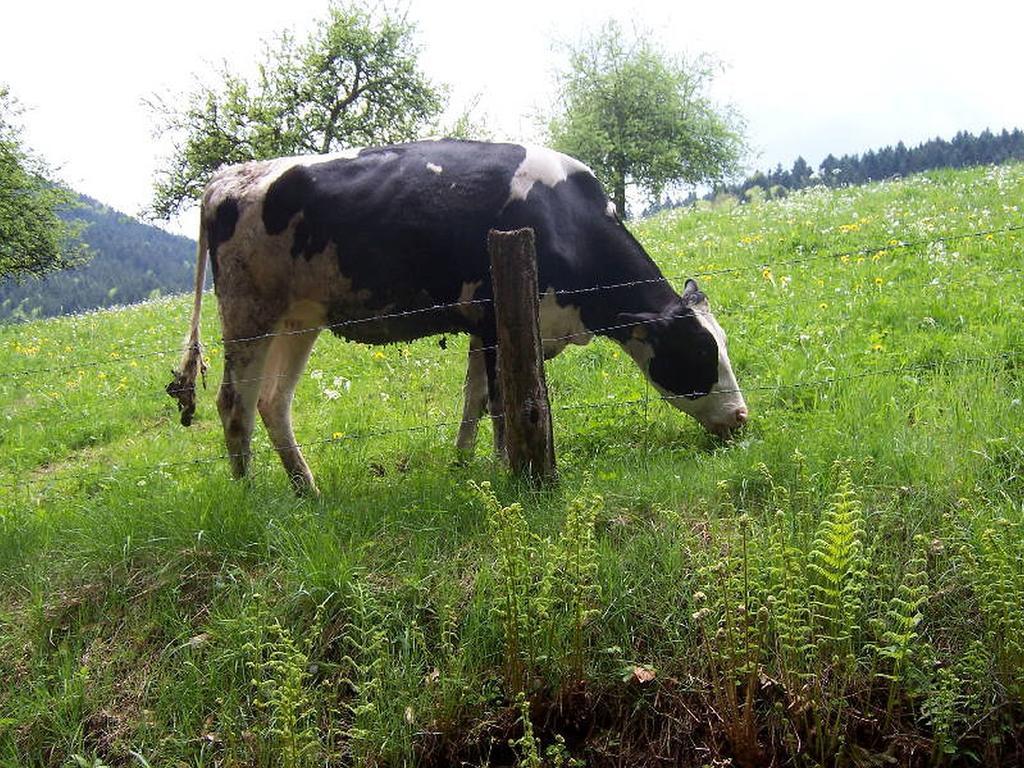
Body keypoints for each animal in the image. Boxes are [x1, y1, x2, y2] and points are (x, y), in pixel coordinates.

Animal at [165, 137, 745, 493]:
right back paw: (249, 493)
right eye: (699, 350)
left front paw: (464, 463)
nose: (741, 417)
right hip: (249, 315)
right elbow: (503, 404)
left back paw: (306, 488)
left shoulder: (486, 325)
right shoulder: (496, 317)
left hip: (298, 319)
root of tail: (227, 178)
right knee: (234, 402)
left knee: (272, 402)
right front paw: (511, 468)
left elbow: (475, 399)